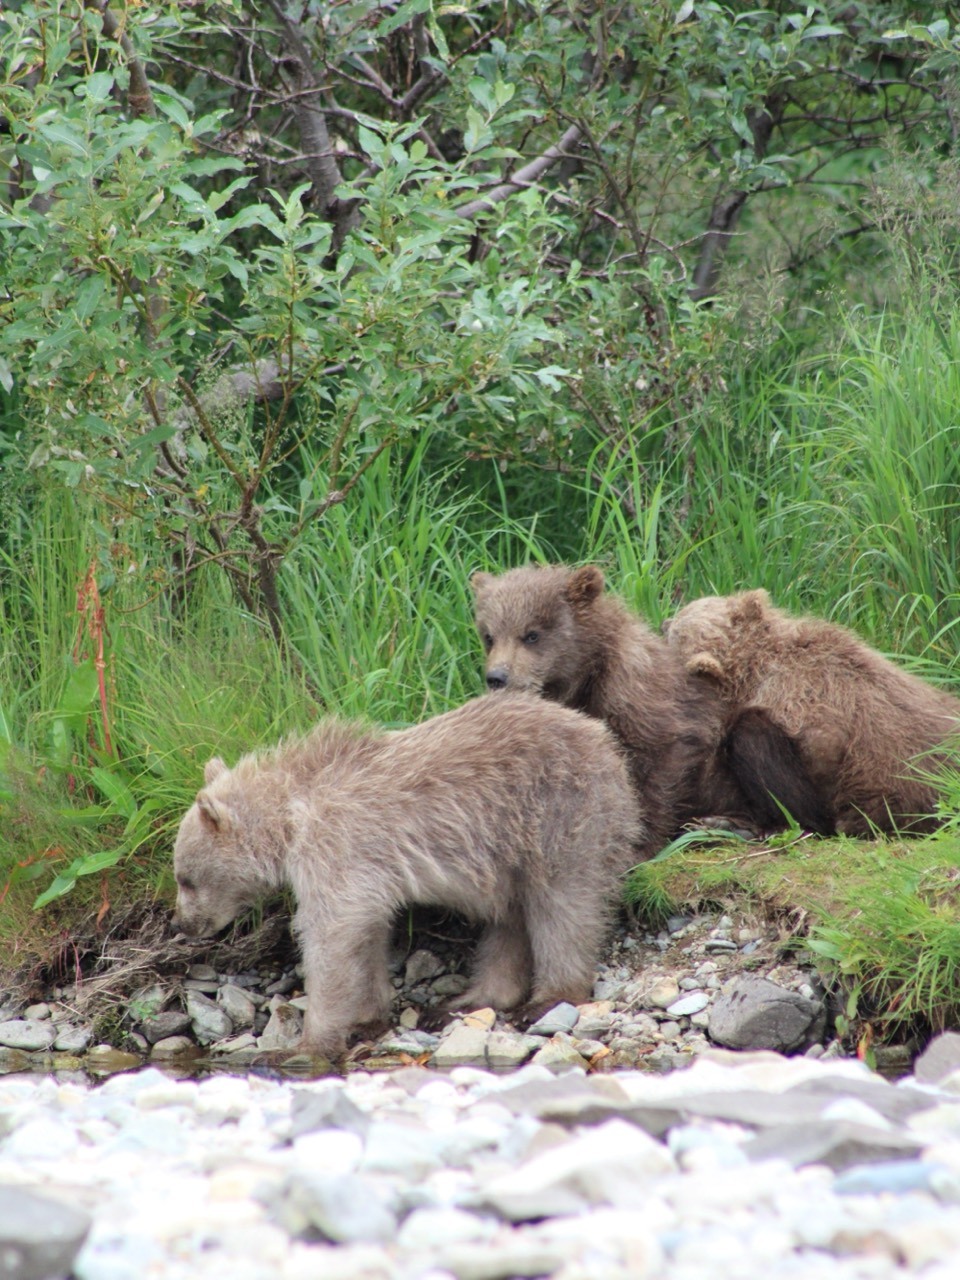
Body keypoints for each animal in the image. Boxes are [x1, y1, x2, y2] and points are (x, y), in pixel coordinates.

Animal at [172, 692, 644, 1059]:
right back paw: (467, 1000)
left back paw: (549, 997)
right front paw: (367, 1016)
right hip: (505, 855)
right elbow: (366, 933)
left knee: (563, 905)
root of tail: (605, 739)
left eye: (184, 877)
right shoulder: (365, 870)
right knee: (509, 919)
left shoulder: (337, 848)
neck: (290, 820)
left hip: (559, 815)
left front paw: (308, 1044)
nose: (182, 924)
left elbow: (331, 935)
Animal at [470, 563, 821, 851]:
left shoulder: (642, 697)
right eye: (489, 636)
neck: (586, 676)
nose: (497, 677)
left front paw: (641, 842)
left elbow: (662, 759)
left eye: (531, 635)